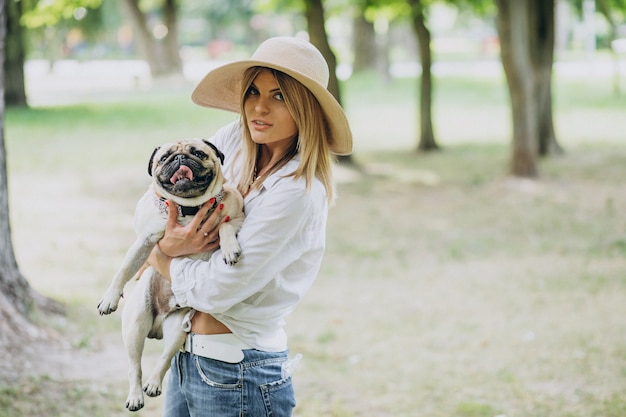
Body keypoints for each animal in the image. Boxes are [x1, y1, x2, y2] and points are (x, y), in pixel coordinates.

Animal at [97, 138, 244, 412]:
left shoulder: (237, 217)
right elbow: (123, 270)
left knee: (165, 358)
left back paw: (154, 384)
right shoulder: (144, 241)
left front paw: (230, 249)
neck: (188, 209)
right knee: (134, 366)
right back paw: (136, 396)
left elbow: (225, 227)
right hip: (135, 324)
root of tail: (156, 325)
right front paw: (109, 298)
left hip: (178, 328)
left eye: (198, 153)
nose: (180, 158)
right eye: (165, 157)